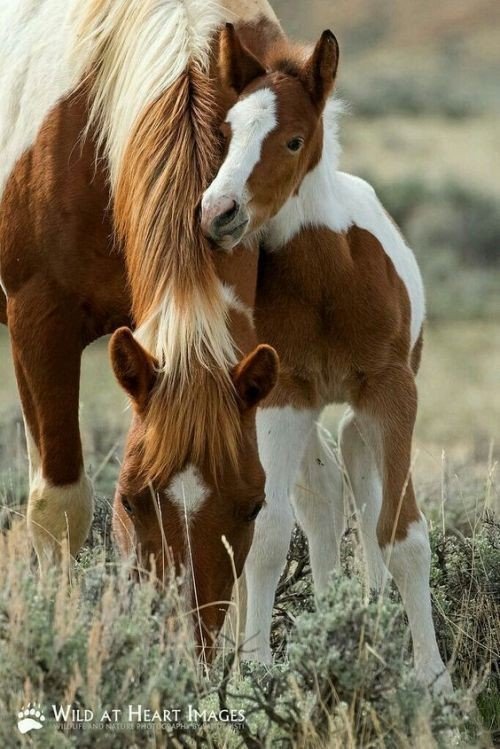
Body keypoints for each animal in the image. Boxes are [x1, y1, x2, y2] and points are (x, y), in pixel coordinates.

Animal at [200, 23, 454, 688]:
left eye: (293, 139)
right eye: (227, 134)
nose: (218, 215)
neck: (328, 282)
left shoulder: (392, 391)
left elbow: (403, 534)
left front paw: (434, 682)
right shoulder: (284, 396)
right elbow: (266, 533)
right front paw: (254, 674)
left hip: (359, 412)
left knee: (356, 488)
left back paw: (365, 619)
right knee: (319, 499)